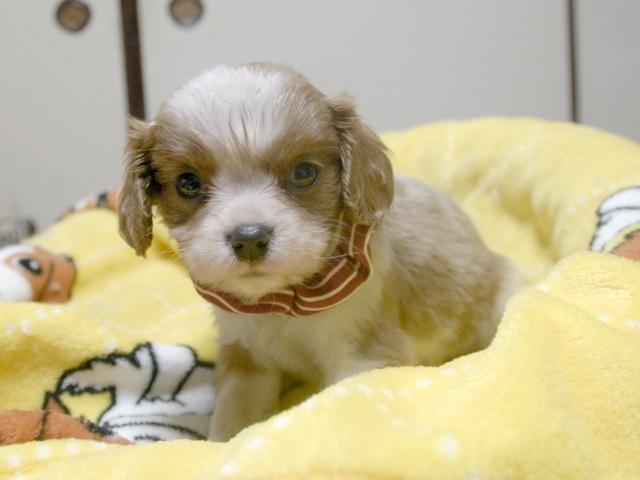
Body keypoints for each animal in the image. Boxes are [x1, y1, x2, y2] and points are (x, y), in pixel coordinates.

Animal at [117, 63, 520, 441]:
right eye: (187, 183)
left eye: (304, 173)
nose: (249, 238)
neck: (283, 300)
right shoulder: (246, 359)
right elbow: (232, 417)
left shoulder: (363, 357)